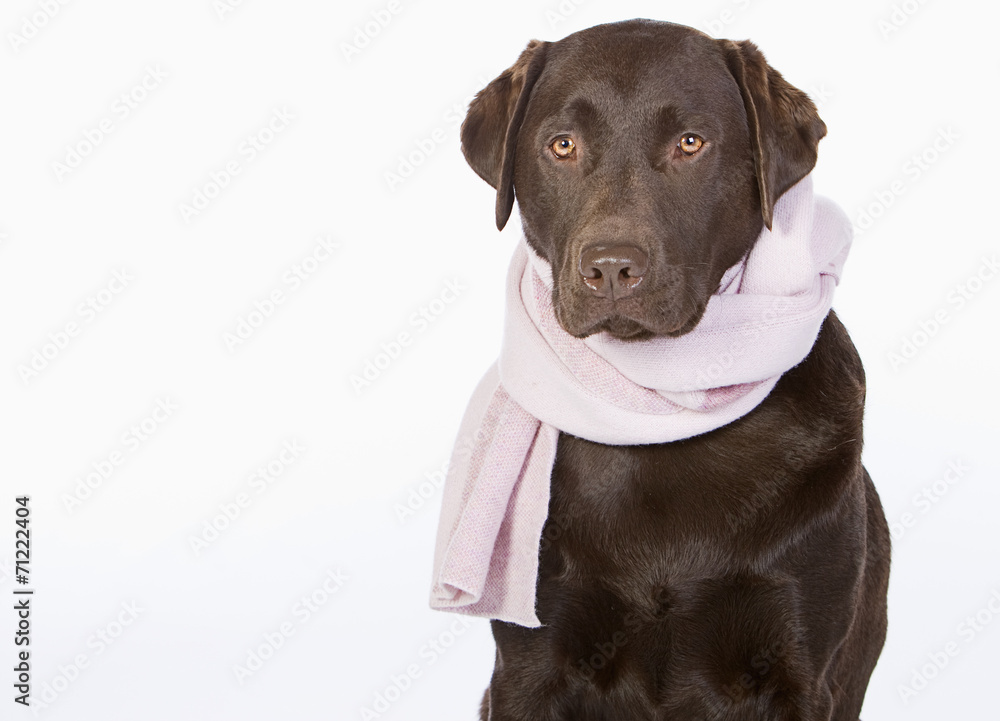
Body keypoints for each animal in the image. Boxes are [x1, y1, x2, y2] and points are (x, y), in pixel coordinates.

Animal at [458, 16, 892, 720]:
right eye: (561, 145)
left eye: (691, 144)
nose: (611, 267)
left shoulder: (800, 671)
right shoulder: (527, 669)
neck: (660, 412)